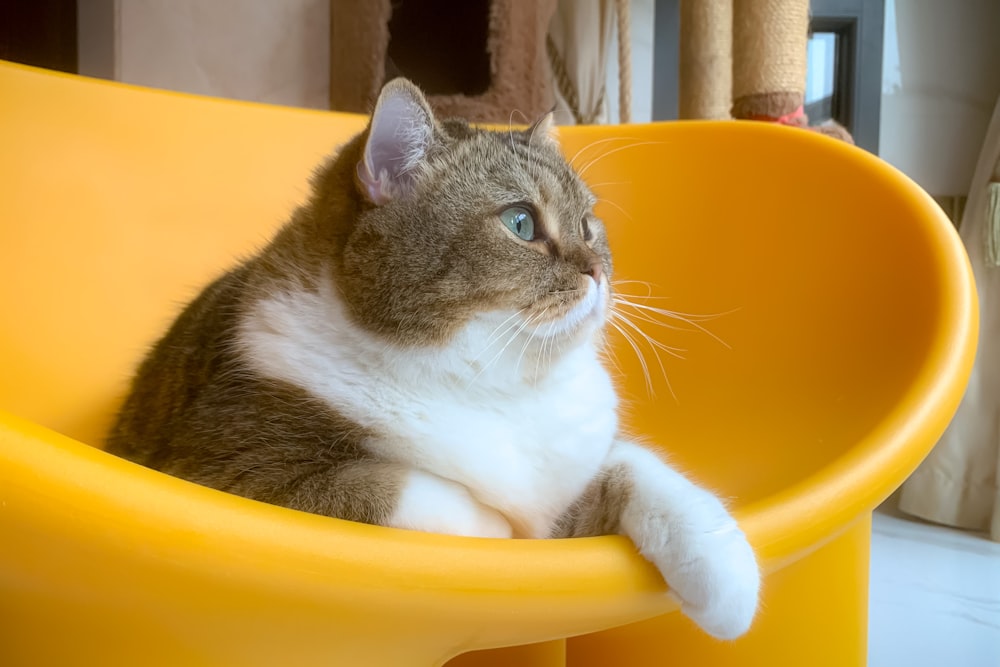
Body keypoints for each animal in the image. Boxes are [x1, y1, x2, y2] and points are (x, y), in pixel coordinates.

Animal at [107, 75, 756, 640]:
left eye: (587, 223)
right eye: (521, 222)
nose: (598, 272)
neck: (491, 387)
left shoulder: (576, 467)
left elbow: (643, 471)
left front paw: (730, 582)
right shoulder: (228, 472)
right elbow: (398, 488)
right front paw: (497, 529)